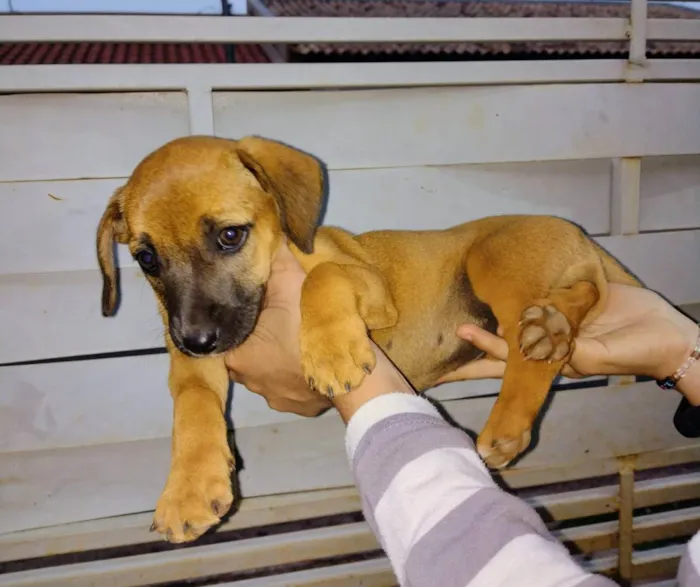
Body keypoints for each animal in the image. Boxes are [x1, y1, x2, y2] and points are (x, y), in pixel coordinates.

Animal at [95, 136, 644, 544]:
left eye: (230, 236)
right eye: (146, 259)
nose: (196, 339)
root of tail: (580, 234)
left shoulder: (368, 286)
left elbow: (323, 279)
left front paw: (332, 353)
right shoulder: (197, 367)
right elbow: (192, 405)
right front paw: (187, 488)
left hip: (491, 258)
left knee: (544, 346)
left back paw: (515, 405)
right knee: (585, 295)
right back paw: (551, 323)